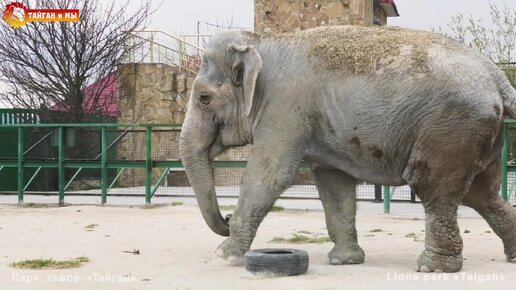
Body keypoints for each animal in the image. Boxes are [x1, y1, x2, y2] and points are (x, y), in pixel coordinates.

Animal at [178, 24, 516, 272]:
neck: (261, 40)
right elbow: (333, 183)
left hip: (451, 127)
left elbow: (271, 174)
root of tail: (497, 75)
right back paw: (510, 256)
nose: (226, 220)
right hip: (476, 131)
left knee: (433, 186)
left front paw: (224, 256)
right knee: (481, 194)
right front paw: (344, 261)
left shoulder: (286, 107)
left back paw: (432, 268)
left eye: (204, 98)